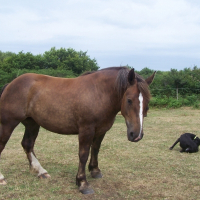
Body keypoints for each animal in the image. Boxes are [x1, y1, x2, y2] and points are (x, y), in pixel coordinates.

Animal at [0, 67, 155, 194]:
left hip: (32, 124)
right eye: (129, 100)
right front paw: (82, 183)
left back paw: (40, 171)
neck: (99, 93)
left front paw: (95, 171)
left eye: (147, 102)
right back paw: (2, 178)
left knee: (27, 144)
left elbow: (95, 149)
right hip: (8, 124)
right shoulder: (86, 130)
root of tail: (10, 84)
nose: (136, 135)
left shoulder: (101, 130)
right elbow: (83, 154)